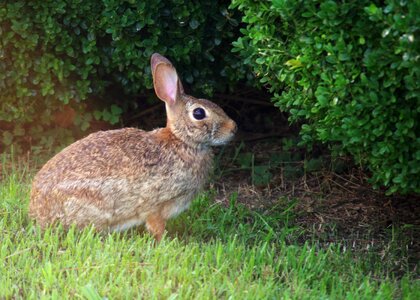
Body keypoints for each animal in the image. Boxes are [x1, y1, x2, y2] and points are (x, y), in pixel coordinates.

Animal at [29, 53, 236, 241]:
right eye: (199, 113)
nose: (234, 128)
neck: (181, 141)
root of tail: (37, 212)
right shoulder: (155, 204)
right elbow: (156, 226)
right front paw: (164, 242)